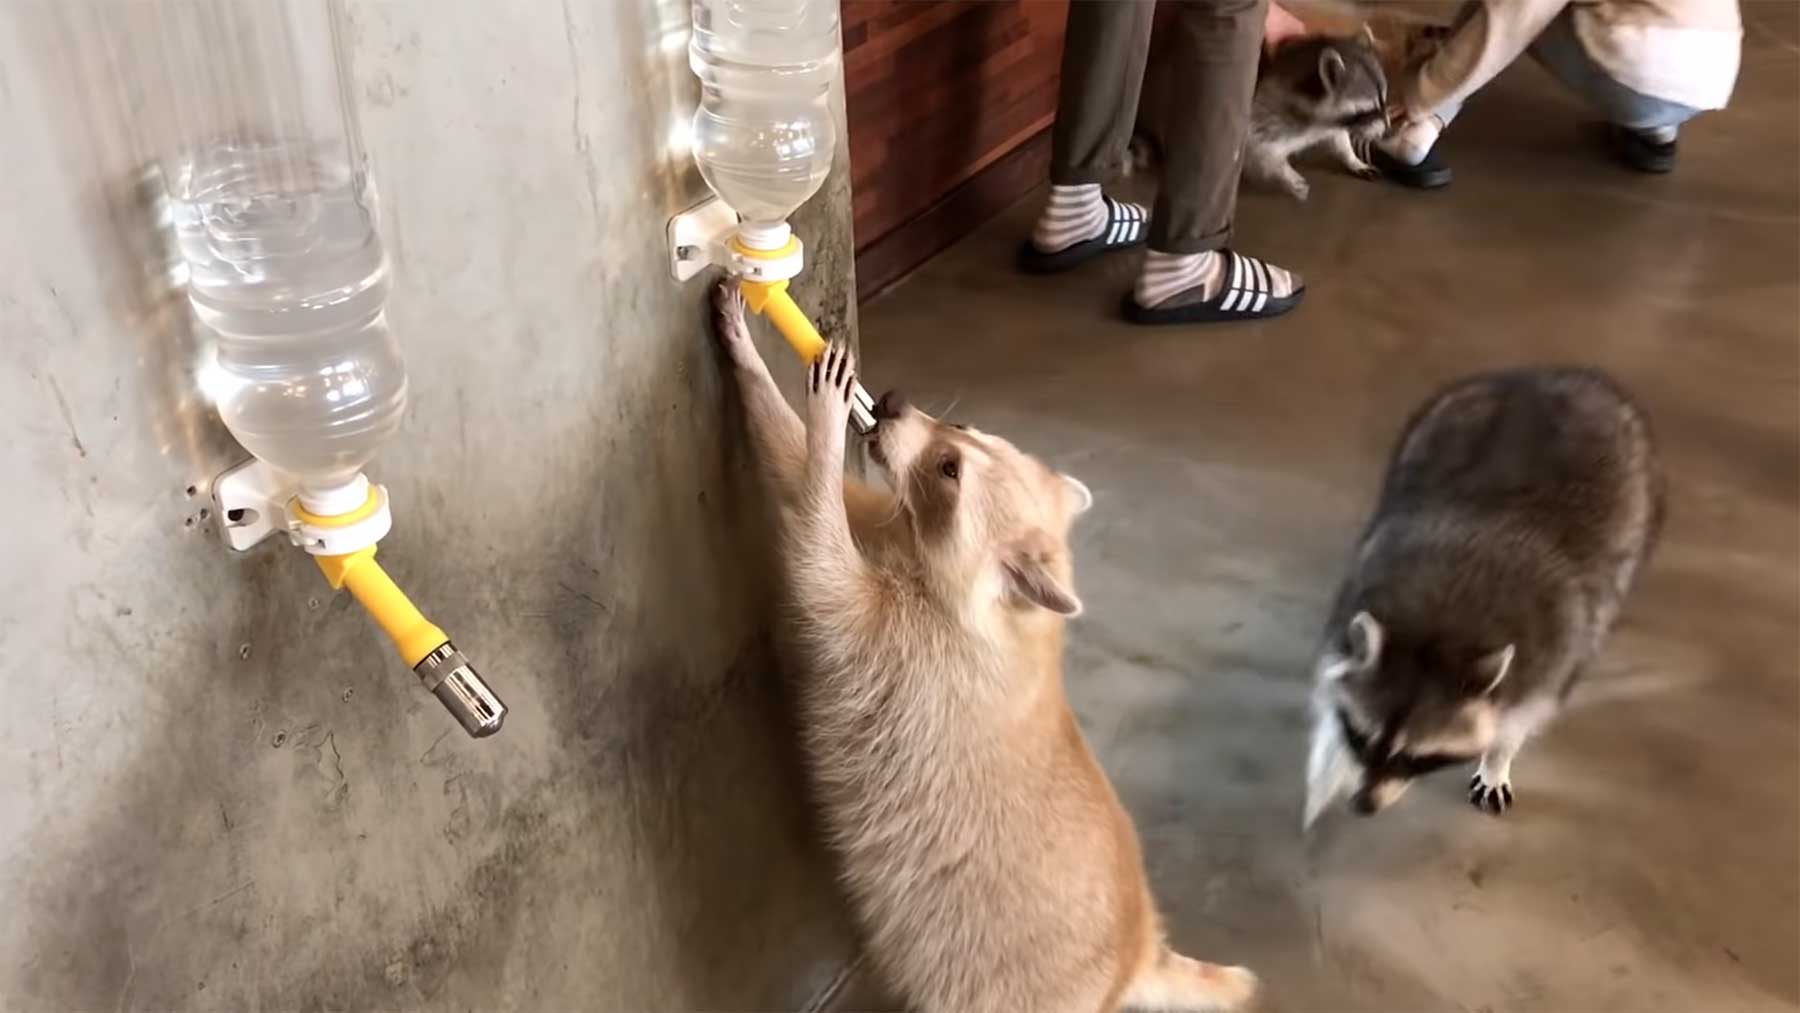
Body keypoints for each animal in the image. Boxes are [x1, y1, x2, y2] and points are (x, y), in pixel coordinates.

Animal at [1303, 368, 1663, 827]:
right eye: (1363, 738)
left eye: (1413, 758)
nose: (1363, 805)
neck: (1438, 631)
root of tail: (1544, 376)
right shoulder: (1360, 586)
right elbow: (1331, 683)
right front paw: (1331, 759)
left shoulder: (1549, 652)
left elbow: (1521, 717)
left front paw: (1497, 758)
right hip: (1425, 431)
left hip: (1638, 510)